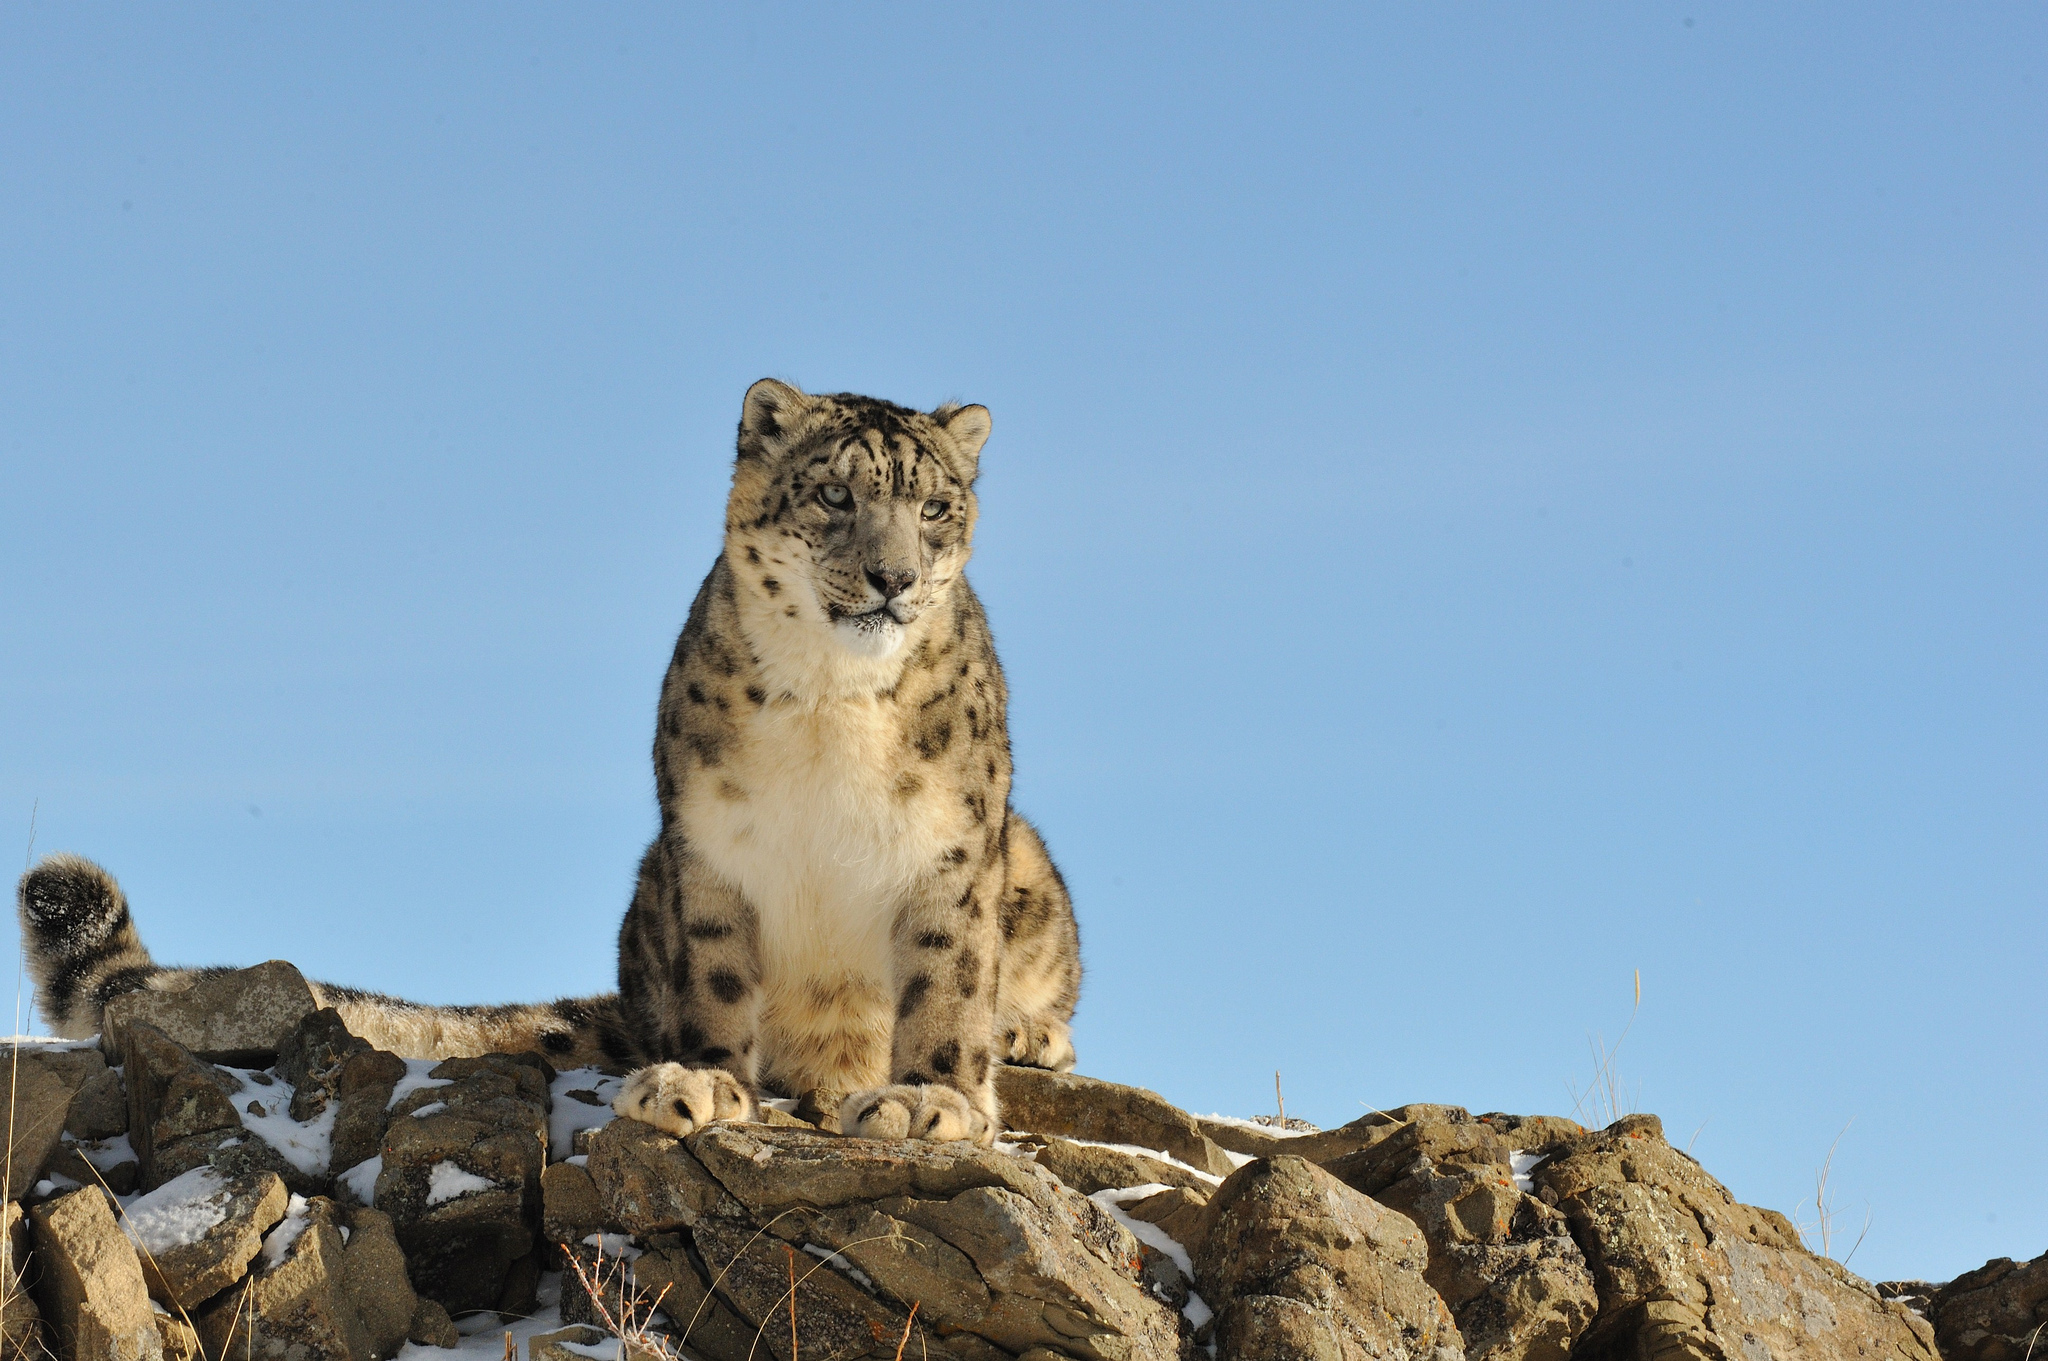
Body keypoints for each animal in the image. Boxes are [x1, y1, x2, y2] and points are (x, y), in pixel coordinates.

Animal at [16, 376, 1089, 1137]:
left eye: (937, 507)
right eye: (833, 493)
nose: (892, 577)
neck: (833, 694)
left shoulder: (954, 846)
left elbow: (948, 983)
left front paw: (931, 1098)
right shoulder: (708, 846)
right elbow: (716, 980)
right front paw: (702, 1082)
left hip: (1026, 860)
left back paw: (1027, 1031)